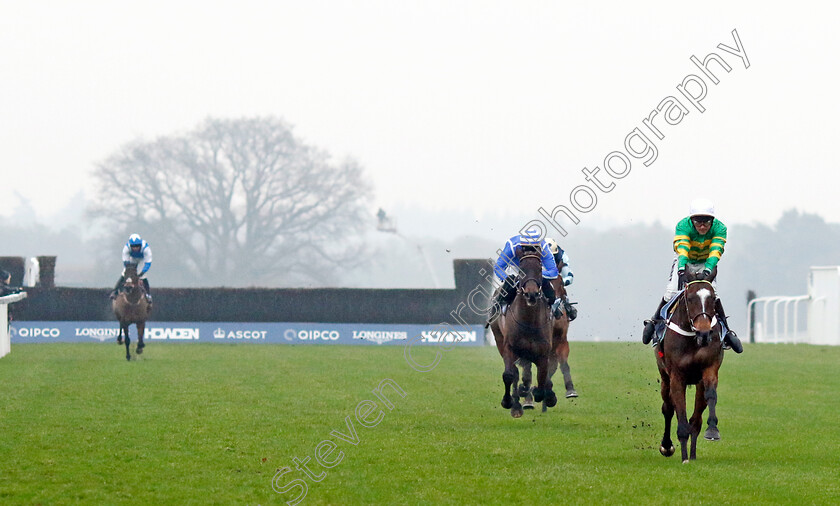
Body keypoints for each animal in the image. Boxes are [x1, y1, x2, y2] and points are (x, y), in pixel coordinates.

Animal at [488, 243, 556, 418]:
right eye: (521, 269)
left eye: (539, 268)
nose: (531, 294)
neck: (529, 321)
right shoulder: (509, 347)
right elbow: (509, 375)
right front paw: (508, 401)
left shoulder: (543, 352)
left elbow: (542, 380)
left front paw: (547, 396)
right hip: (499, 340)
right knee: (515, 374)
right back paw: (516, 404)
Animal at [520, 274, 576, 410]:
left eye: (561, 283)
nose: (557, 310)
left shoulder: (561, 342)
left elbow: (559, 365)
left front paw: (570, 390)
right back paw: (528, 400)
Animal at [656, 272, 720, 462]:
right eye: (690, 298)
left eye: (713, 299)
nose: (704, 333)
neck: (693, 338)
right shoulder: (677, 376)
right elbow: (679, 411)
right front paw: (682, 455)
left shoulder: (709, 369)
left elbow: (710, 396)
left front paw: (712, 431)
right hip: (665, 378)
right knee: (668, 408)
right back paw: (668, 446)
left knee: (695, 420)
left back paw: (692, 454)